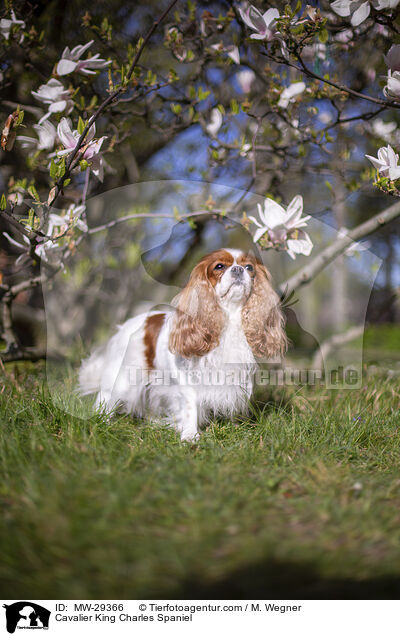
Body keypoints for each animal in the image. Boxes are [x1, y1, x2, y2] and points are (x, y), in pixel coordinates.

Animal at [78, 246, 286, 440]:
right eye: (219, 266)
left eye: (249, 267)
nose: (238, 269)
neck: (229, 316)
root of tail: (126, 325)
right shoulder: (187, 381)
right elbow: (190, 405)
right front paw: (190, 436)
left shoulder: (236, 377)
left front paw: (236, 429)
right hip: (124, 377)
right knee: (105, 397)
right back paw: (101, 422)